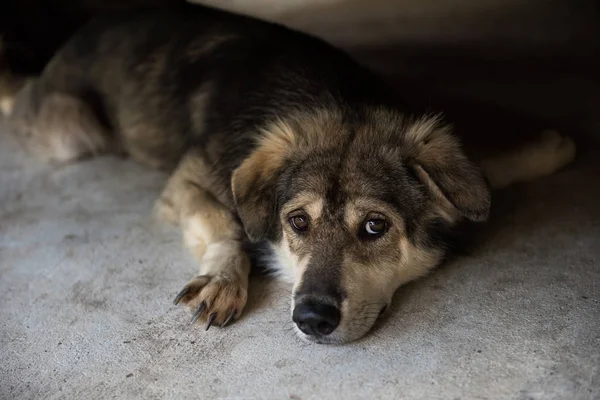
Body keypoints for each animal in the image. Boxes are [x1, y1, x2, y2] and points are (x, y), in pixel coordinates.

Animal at [2, 3, 580, 344]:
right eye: (297, 222)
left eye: (375, 226)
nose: (311, 321)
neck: (334, 97)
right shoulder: (186, 181)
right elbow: (229, 225)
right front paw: (224, 278)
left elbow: (479, 175)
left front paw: (543, 151)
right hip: (73, 132)